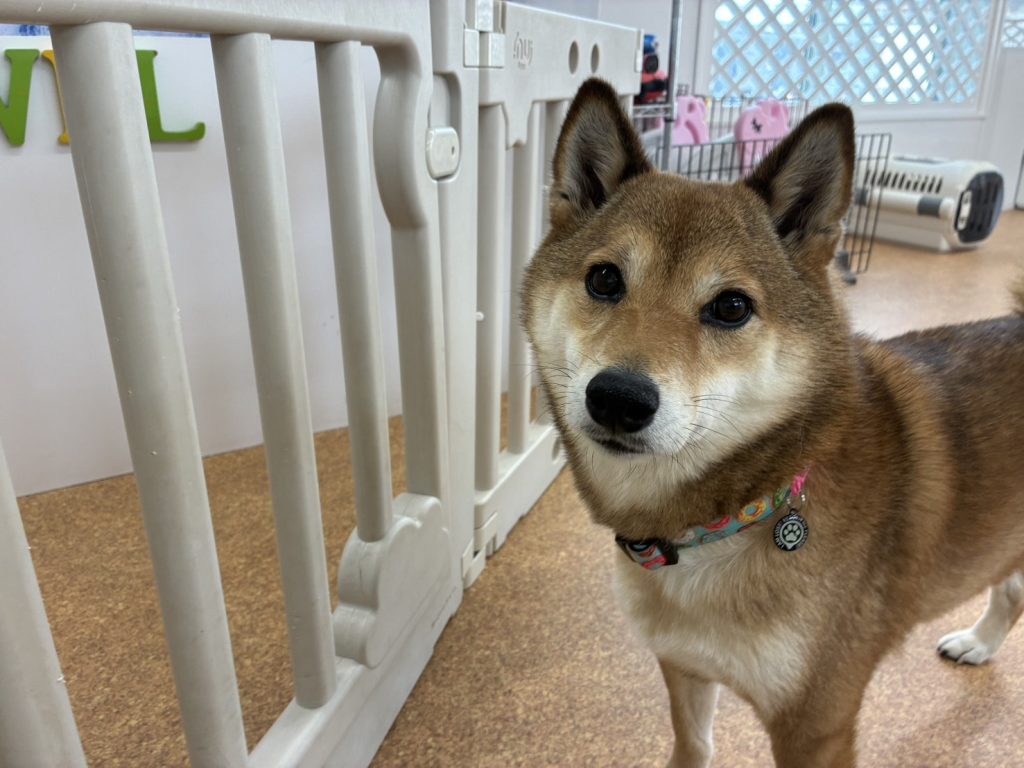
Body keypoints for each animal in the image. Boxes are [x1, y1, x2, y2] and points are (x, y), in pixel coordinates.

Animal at [521, 78, 1024, 767]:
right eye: (604, 279)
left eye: (731, 306)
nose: (618, 398)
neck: (734, 516)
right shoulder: (684, 667)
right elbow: (693, 745)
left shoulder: (816, 726)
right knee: (1011, 590)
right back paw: (980, 642)